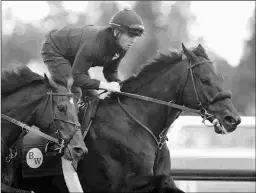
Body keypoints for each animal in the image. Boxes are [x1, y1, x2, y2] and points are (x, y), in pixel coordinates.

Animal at [21, 43, 240, 193]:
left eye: (220, 78)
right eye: (204, 80)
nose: (233, 119)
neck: (136, 123)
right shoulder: (122, 184)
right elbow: (165, 182)